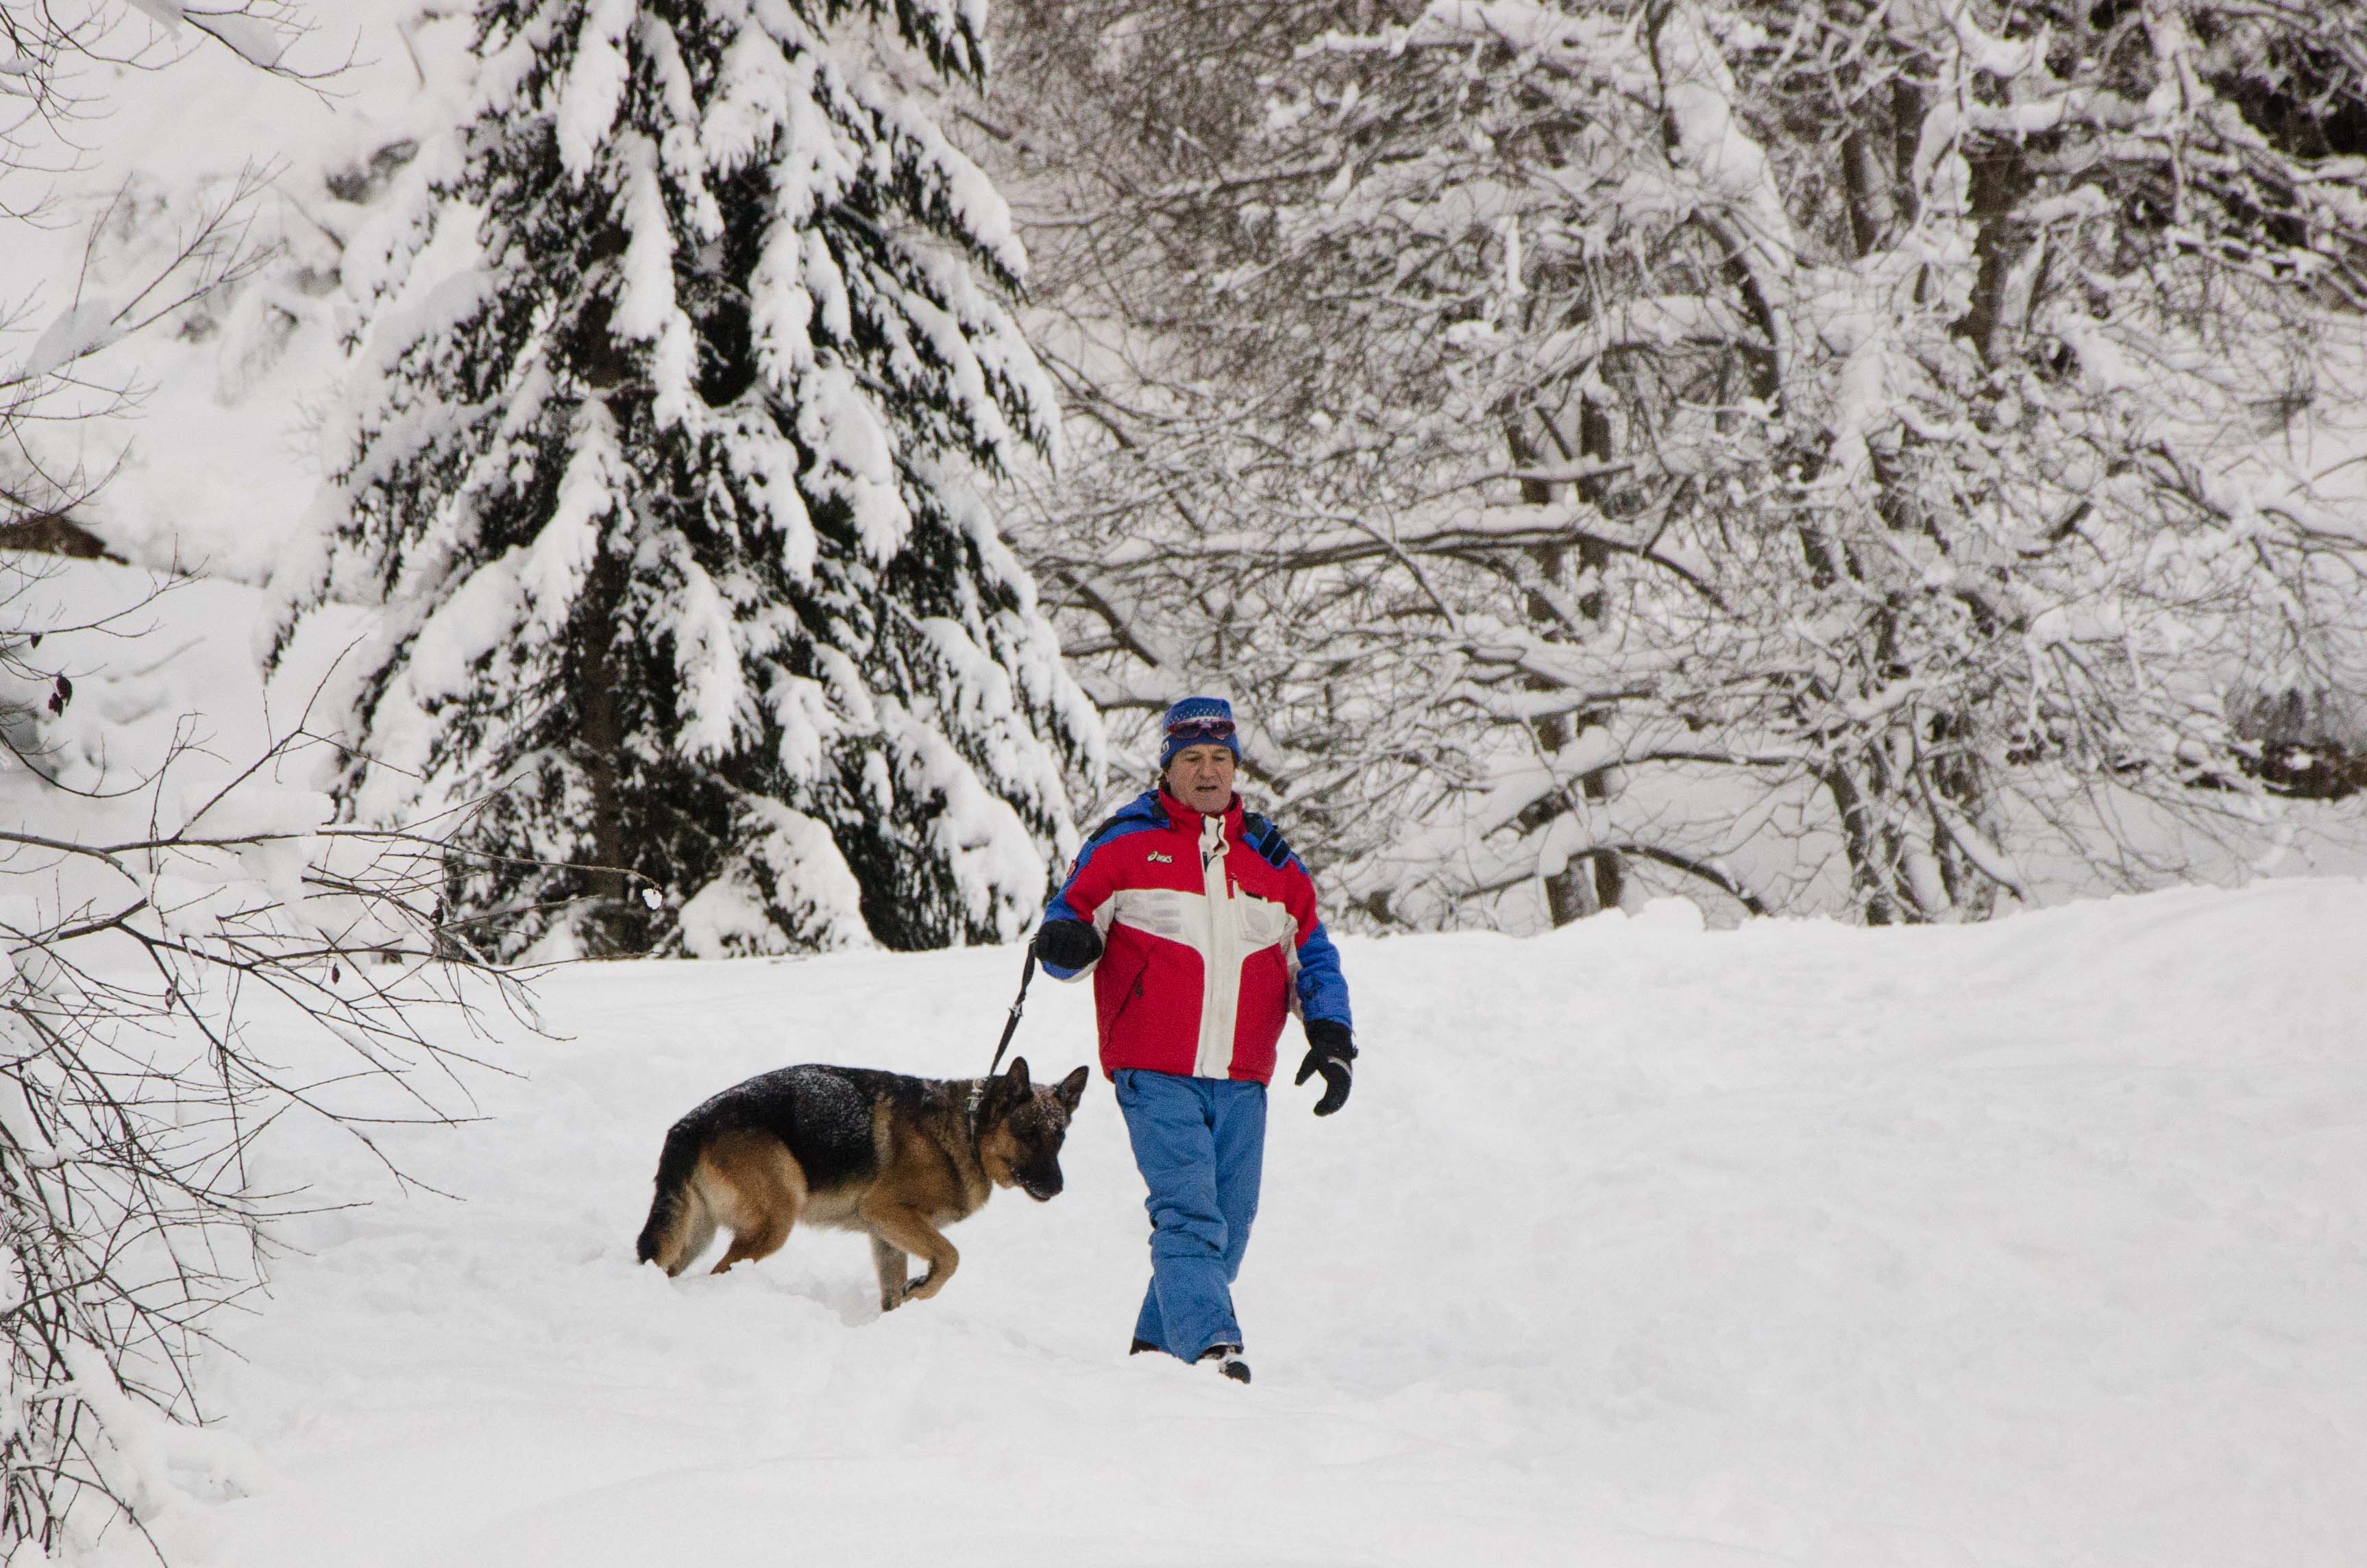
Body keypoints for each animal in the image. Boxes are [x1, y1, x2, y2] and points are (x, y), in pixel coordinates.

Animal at [634, 1056, 1083, 1316]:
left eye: (1060, 1137)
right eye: (1028, 1134)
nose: (1058, 1188)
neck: (967, 1130)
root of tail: (689, 1126)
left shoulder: (886, 1235)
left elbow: (893, 1291)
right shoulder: (888, 1212)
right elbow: (950, 1257)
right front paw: (922, 1289)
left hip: (694, 1235)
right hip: (773, 1224)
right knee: (721, 1270)